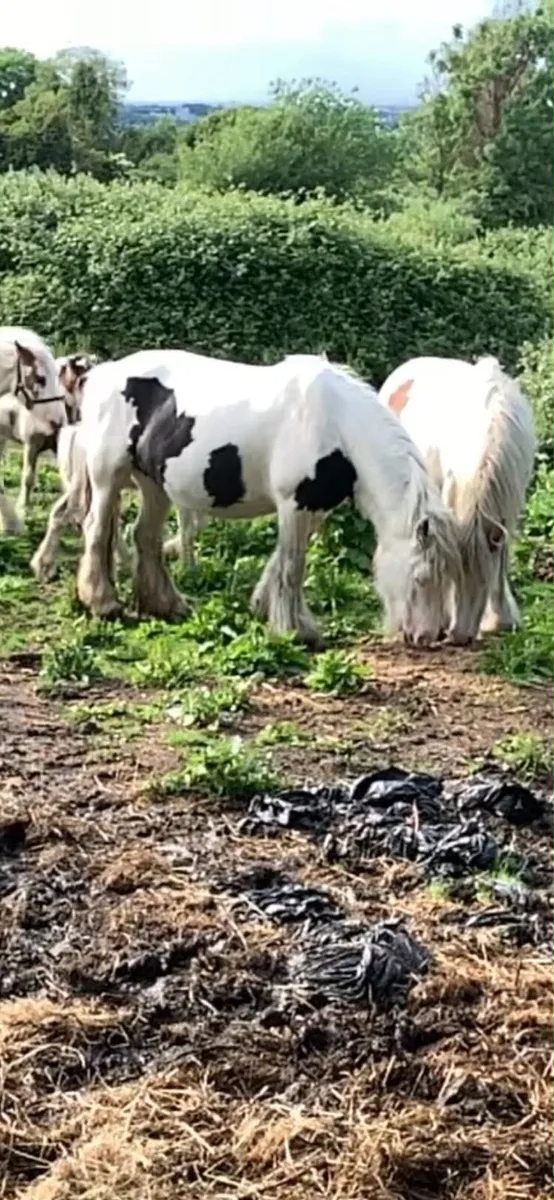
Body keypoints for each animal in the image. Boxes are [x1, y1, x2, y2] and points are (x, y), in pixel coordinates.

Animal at [67, 349, 461, 647]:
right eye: (421, 577)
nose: (426, 637)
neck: (336, 424)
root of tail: (102, 373)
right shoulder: (294, 504)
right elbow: (291, 565)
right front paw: (295, 631)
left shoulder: (313, 508)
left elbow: (279, 562)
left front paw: (262, 606)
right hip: (108, 476)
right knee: (97, 531)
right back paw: (103, 603)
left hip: (153, 484)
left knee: (145, 538)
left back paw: (165, 605)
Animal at [378, 355, 537, 645]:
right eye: (455, 572)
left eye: (483, 576)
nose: (460, 636)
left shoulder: (509, 509)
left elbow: (501, 560)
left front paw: (501, 620)